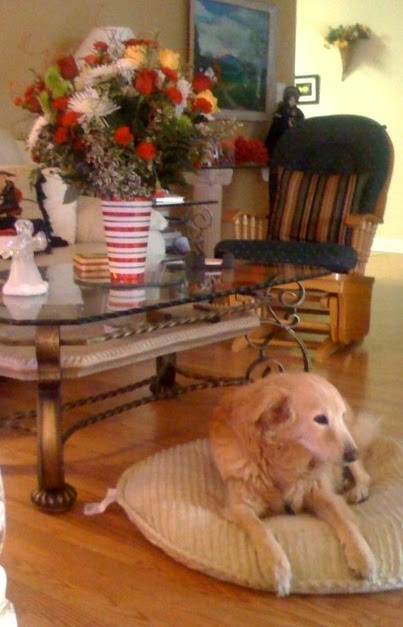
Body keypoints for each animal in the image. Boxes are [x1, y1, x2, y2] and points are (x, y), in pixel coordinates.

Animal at [209, 372, 378, 596]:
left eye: (339, 416)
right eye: (320, 419)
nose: (353, 453)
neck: (282, 459)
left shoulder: (323, 495)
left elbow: (346, 523)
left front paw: (363, 556)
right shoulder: (239, 507)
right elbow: (260, 529)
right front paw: (276, 567)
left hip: (351, 442)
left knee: (364, 475)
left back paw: (358, 490)